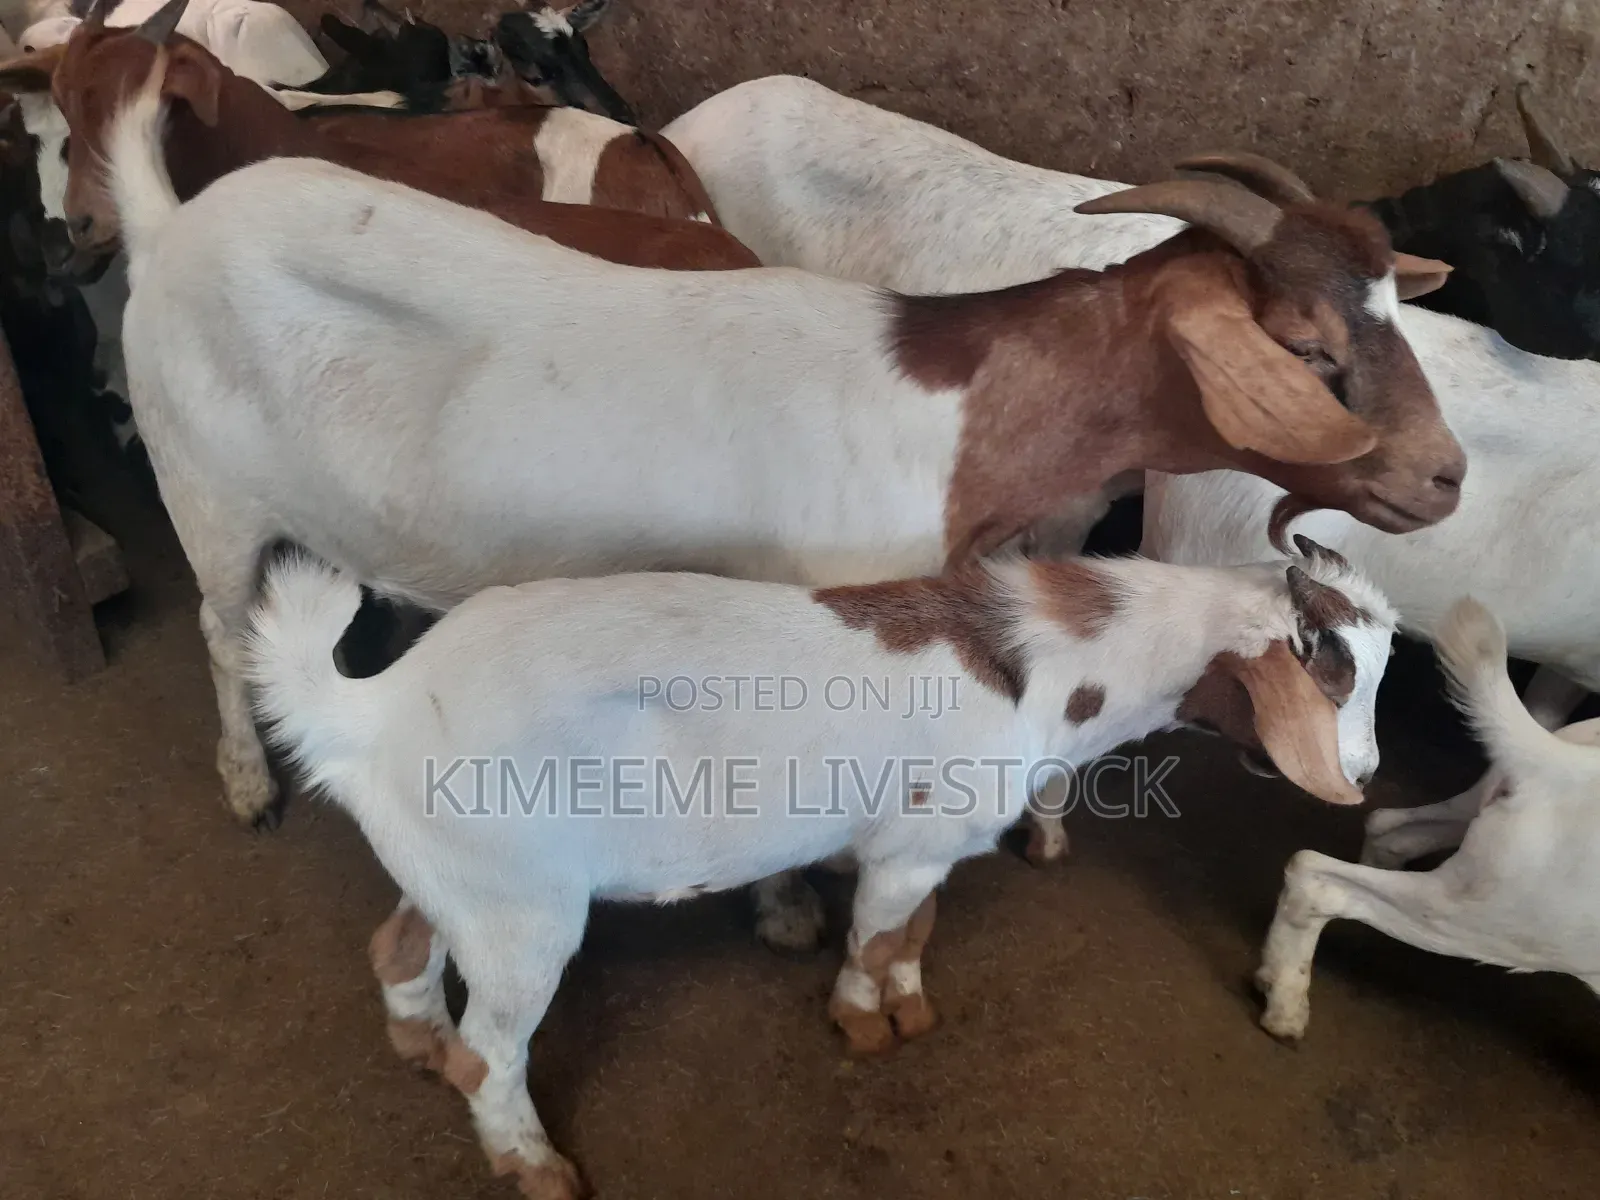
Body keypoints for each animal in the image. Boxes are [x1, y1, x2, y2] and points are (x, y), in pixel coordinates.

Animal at [244, 541, 1396, 1195]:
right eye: (1336, 676)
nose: (1371, 773)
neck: (1053, 677)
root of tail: (372, 706)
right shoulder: (905, 846)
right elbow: (875, 936)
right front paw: (864, 1027)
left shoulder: (931, 847)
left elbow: (916, 935)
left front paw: (913, 1012)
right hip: (524, 914)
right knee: (492, 1056)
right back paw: (538, 1170)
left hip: (461, 880)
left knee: (398, 944)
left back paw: (416, 1047)